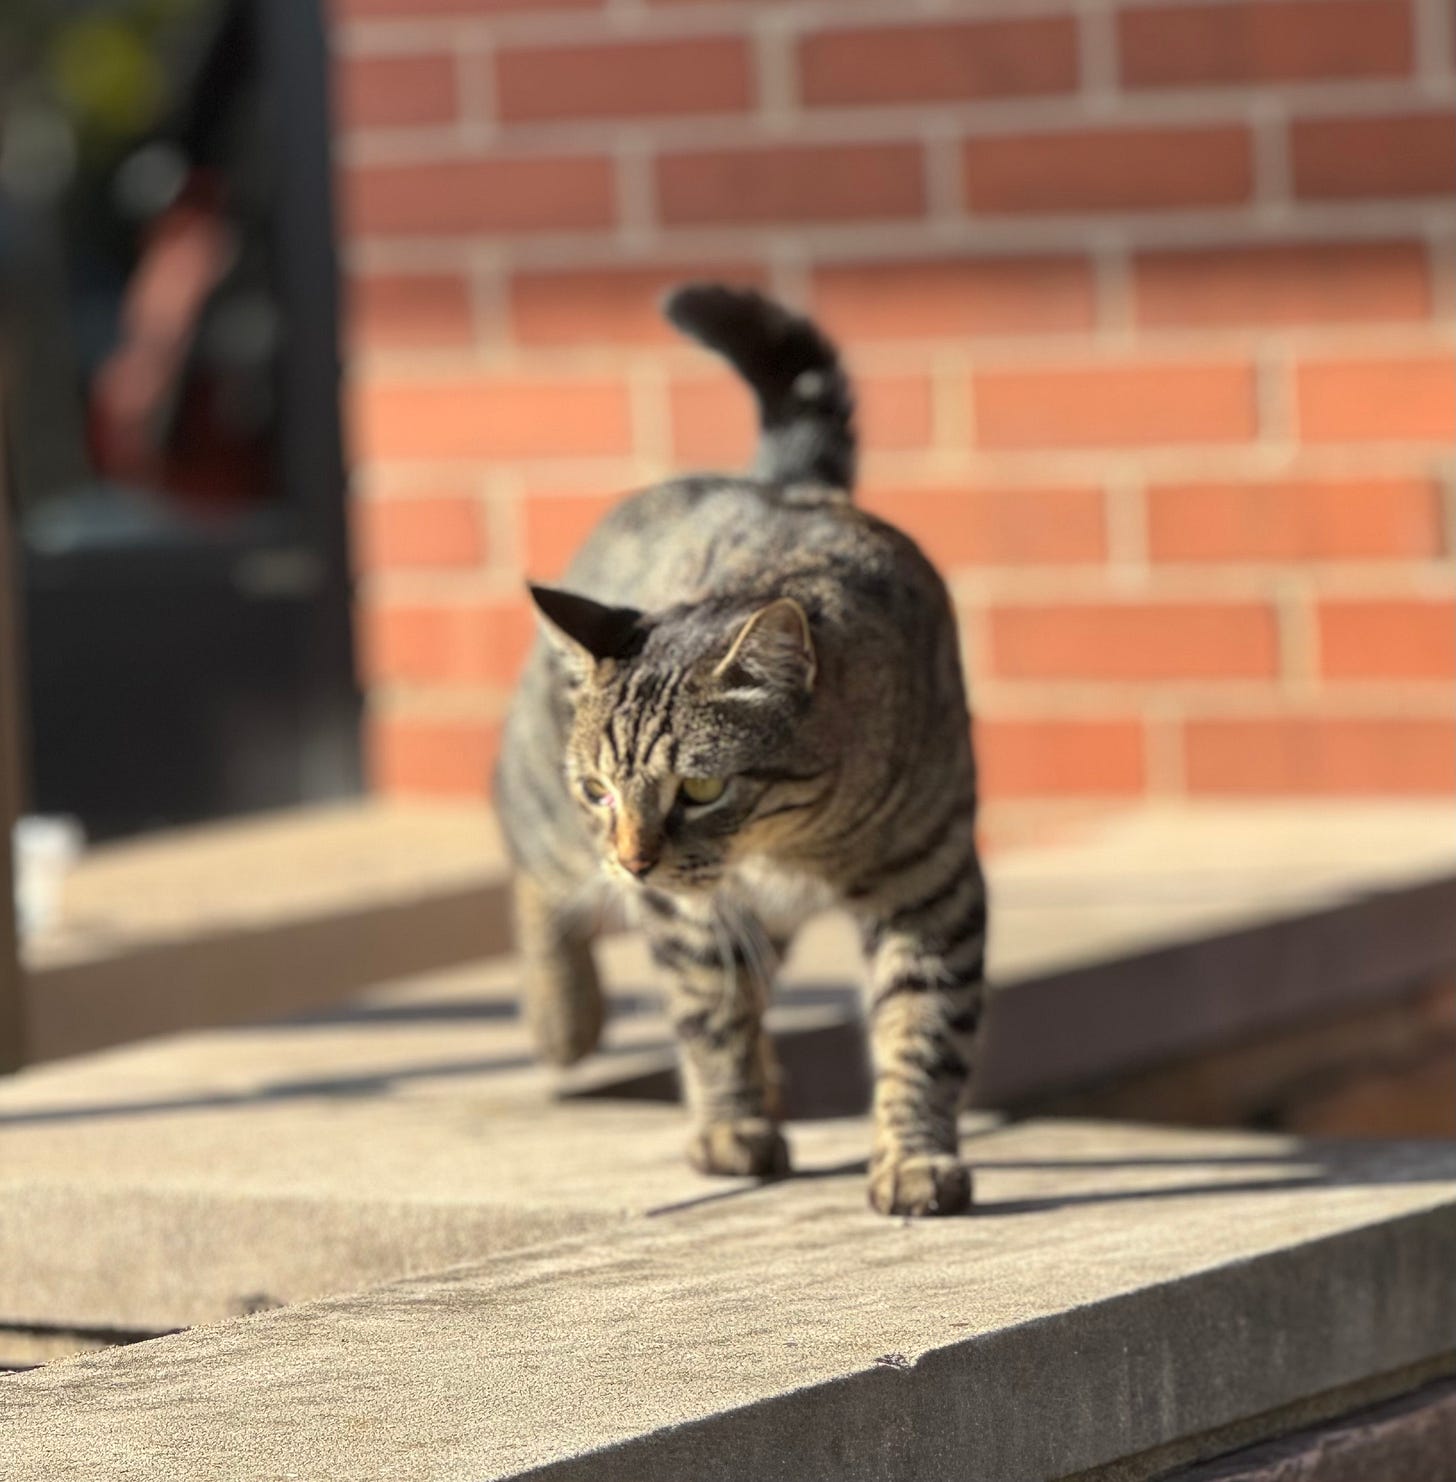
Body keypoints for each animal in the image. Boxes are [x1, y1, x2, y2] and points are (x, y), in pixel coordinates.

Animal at [495, 280, 984, 1215]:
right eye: (600, 791)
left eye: (699, 791)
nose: (633, 860)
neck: (793, 843)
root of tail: (776, 483)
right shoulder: (684, 915)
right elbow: (708, 1015)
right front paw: (731, 1129)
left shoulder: (931, 885)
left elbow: (922, 1030)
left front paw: (912, 1157)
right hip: (545, 814)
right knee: (533, 873)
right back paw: (562, 1017)